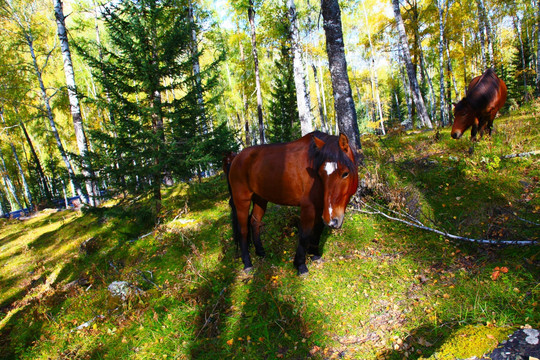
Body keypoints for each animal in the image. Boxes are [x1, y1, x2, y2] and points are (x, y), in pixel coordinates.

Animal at [225, 132, 356, 276]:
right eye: (320, 174)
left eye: (345, 173)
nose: (334, 221)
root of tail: (236, 158)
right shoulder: (308, 208)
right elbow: (305, 234)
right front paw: (301, 265)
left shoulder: (322, 208)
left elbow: (318, 229)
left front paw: (315, 255)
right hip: (242, 200)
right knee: (243, 229)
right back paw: (247, 263)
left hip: (260, 199)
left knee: (254, 222)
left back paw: (260, 252)